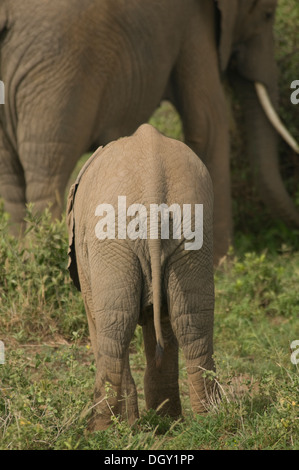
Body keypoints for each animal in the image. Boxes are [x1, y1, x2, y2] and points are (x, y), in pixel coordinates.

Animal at [0, 0, 298, 260]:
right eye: (267, 14)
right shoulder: (194, 22)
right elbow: (209, 123)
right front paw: (226, 268)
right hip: (56, 77)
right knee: (47, 178)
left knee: (13, 188)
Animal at [67, 124, 218, 430]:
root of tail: (152, 180)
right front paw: (162, 421)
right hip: (193, 228)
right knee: (192, 322)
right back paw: (211, 421)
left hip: (112, 238)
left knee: (115, 324)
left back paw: (100, 430)